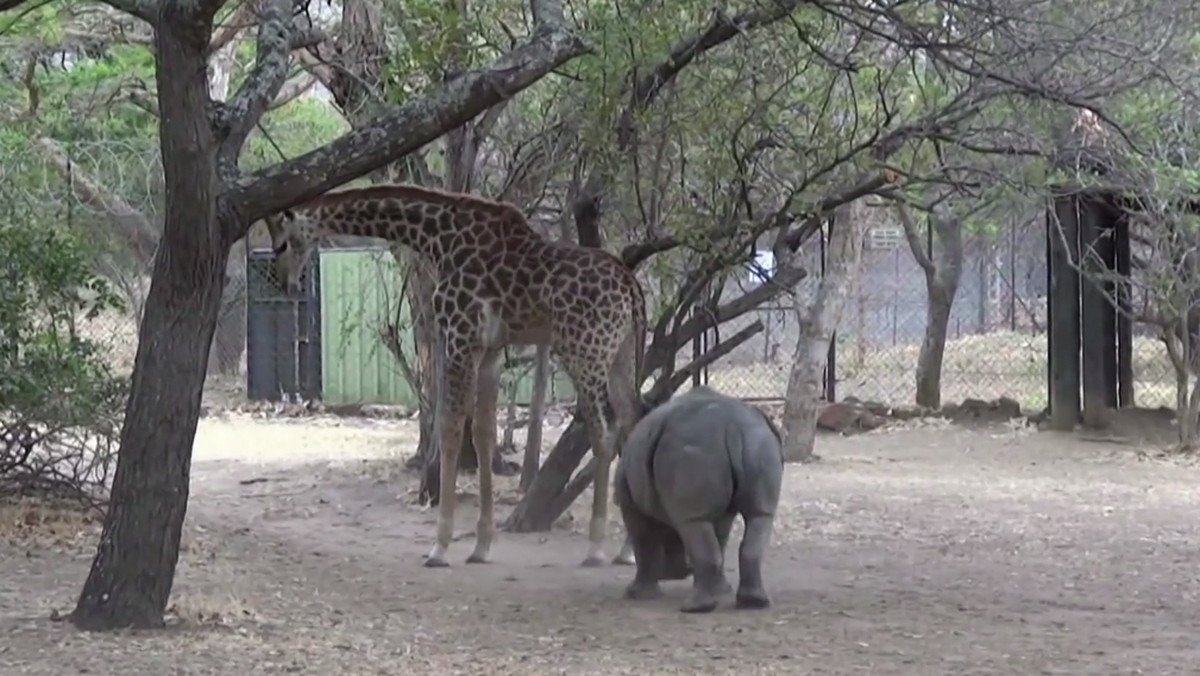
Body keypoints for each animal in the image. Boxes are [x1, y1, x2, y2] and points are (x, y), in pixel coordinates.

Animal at [264, 186, 648, 571]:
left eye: (282, 243)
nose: (285, 284)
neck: (438, 238)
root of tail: (632, 287)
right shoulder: (490, 351)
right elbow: (482, 433)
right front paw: (481, 546)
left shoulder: (458, 336)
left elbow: (448, 430)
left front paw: (440, 547)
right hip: (621, 354)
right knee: (633, 421)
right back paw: (628, 549)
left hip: (585, 351)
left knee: (603, 432)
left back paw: (596, 548)